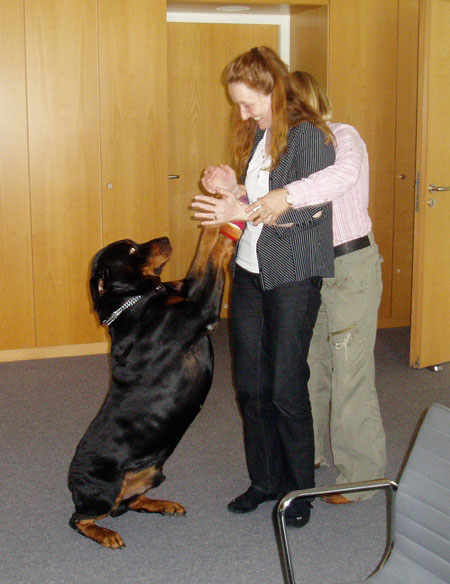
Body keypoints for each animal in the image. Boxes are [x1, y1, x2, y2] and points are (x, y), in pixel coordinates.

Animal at [68, 225, 236, 548]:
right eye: (132, 250)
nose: (166, 239)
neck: (135, 300)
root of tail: (73, 485)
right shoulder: (201, 312)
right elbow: (213, 259)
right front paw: (226, 235)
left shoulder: (186, 289)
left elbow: (202, 253)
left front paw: (212, 222)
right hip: (106, 487)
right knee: (80, 519)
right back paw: (105, 534)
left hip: (153, 474)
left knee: (130, 502)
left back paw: (163, 504)